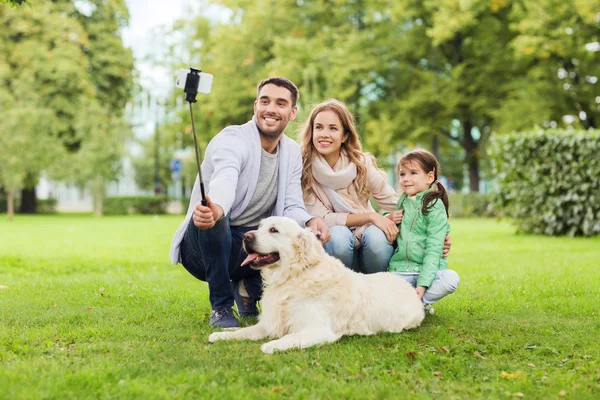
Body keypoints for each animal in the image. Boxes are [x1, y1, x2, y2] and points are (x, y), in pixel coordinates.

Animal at [209, 216, 424, 354]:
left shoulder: (318, 330)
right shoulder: (270, 322)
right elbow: (245, 331)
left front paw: (272, 345)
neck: (292, 277)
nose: (247, 237)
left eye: (273, 230)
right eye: (260, 227)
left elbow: (289, 338)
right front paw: (221, 335)